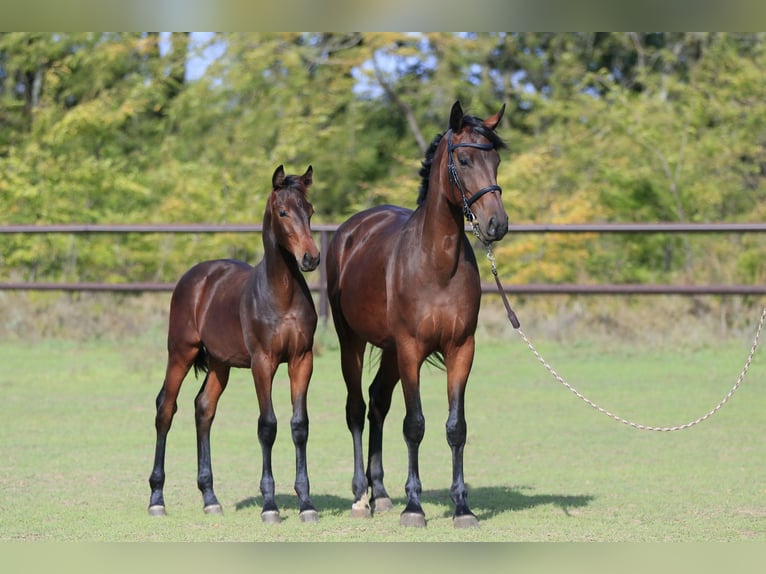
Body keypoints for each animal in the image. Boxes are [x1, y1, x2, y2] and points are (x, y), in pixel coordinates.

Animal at [150, 164, 320, 524]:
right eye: (283, 212)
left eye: (310, 210)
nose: (311, 258)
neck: (281, 295)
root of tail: (196, 277)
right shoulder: (263, 362)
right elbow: (267, 426)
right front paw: (269, 506)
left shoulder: (302, 359)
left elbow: (299, 425)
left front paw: (307, 504)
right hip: (181, 352)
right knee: (165, 408)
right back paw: (156, 499)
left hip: (220, 363)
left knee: (204, 407)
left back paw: (210, 498)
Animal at [326, 101, 510, 528]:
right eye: (464, 159)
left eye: (496, 159)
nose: (497, 223)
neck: (435, 263)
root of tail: (350, 231)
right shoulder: (411, 349)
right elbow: (414, 425)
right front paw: (414, 507)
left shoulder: (461, 348)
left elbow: (456, 427)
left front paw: (462, 508)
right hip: (353, 342)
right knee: (357, 408)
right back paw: (360, 496)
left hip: (391, 352)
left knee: (377, 402)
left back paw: (380, 494)